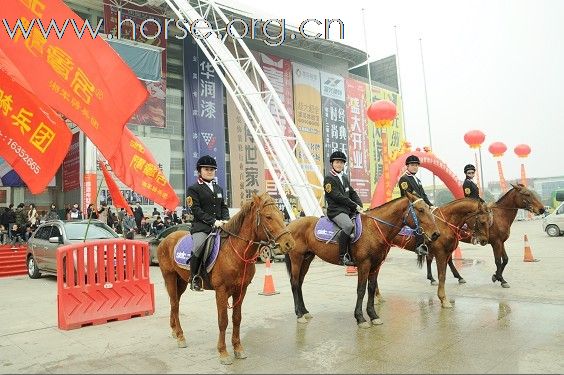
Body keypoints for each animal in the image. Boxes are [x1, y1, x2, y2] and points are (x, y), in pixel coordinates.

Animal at [156, 194, 294, 364]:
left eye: (281, 215)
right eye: (268, 216)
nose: (289, 243)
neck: (234, 251)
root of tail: (165, 239)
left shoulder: (241, 290)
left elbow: (236, 319)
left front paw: (238, 348)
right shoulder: (221, 291)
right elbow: (223, 321)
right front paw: (223, 352)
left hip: (180, 281)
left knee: (174, 302)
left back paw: (175, 330)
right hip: (169, 276)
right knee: (175, 305)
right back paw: (181, 336)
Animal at [286, 192, 440, 328]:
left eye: (428, 208)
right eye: (421, 210)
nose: (436, 234)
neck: (374, 229)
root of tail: (290, 225)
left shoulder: (376, 265)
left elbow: (371, 288)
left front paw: (373, 316)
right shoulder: (364, 264)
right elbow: (361, 290)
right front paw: (360, 318)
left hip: (307, 258)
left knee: (300, 283)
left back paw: (305, 311)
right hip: (297, 258)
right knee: (294, 283)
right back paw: (299, 314)